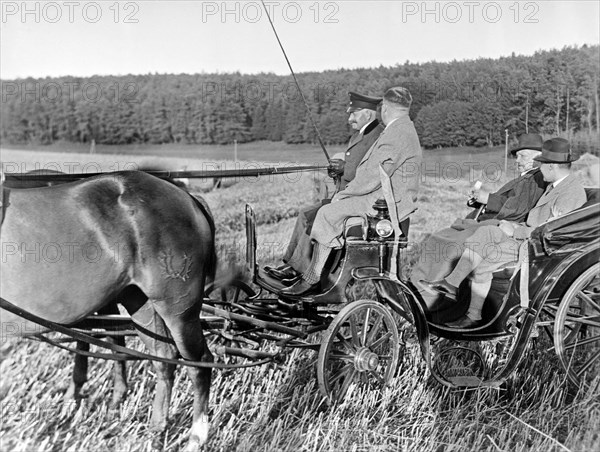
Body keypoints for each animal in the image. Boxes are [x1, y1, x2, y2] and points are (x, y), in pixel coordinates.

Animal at [0, 170, 216, 452]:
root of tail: (186, 196)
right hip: (139, 302)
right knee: (164, 358)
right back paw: (156, 431)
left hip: (179, 308)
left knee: (199, 362)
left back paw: (195, 437)